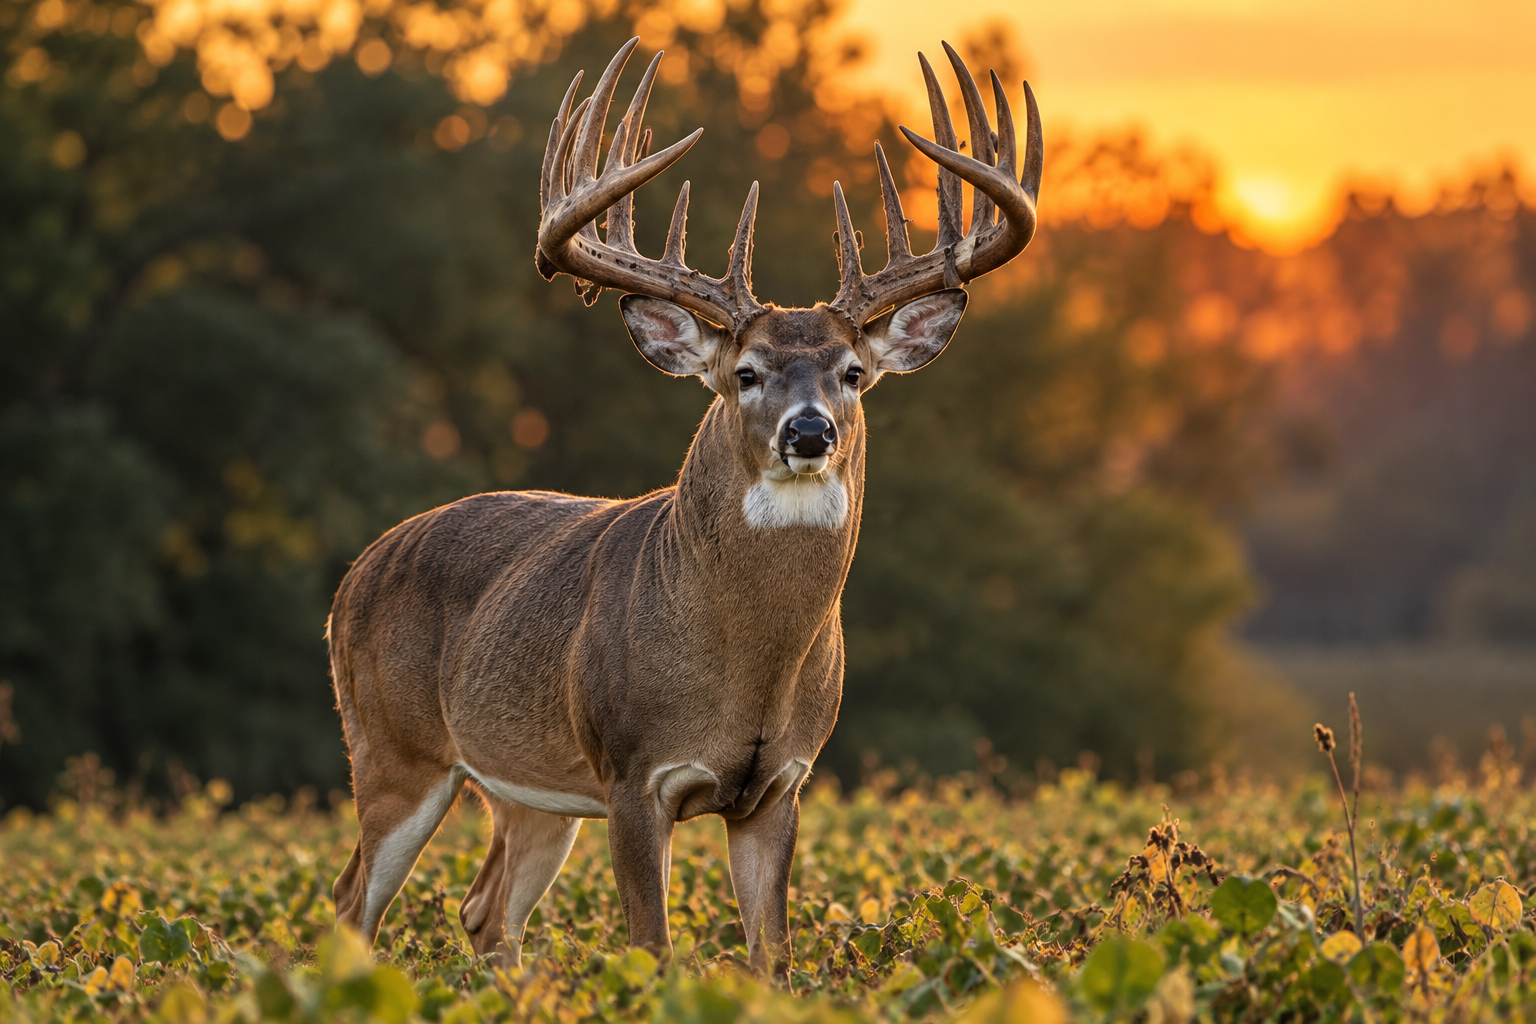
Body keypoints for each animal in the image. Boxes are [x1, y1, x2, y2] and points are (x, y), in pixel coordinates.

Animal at [327, 36, 1041, 975]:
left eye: (853, 373)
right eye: (745, 373)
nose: (809, 431)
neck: (748, 665)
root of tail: (354, 573)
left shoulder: (780, 785)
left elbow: (771, 957)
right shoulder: (634, 774)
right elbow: (652, 951)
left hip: (532, 790)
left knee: (486, 911)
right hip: (392, 748)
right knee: (351, 905)